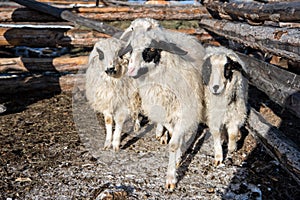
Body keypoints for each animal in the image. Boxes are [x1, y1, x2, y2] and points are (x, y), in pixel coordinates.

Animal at [118, 18, 206, 191]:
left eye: (152, 48)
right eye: (131, 46)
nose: (131, 70)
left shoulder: (185, 111)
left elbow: (175, 143)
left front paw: (171, 178)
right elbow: (171, 132)